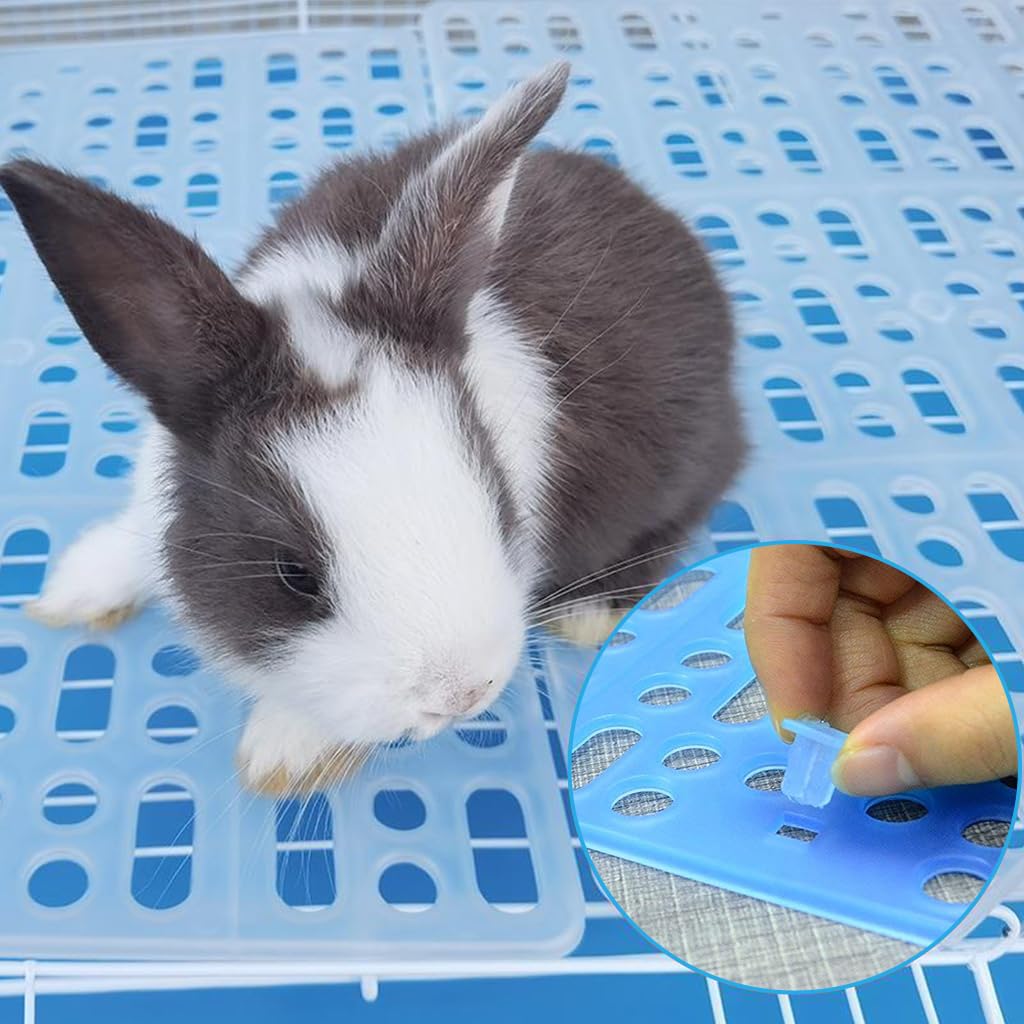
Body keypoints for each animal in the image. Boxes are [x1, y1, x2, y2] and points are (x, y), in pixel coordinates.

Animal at [0, 61, 745, 794]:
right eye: (294, 575)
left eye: (498, 509)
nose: (461, 696)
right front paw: (72, 591)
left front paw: (284, 753)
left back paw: (587, 613)